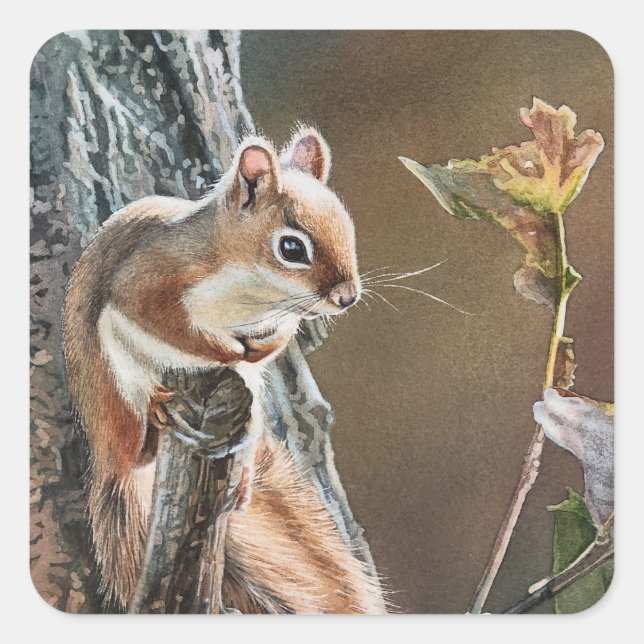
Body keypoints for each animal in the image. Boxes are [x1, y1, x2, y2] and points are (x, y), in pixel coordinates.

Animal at [63, 125, 386, 613]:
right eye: (292, 248)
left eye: (347, 228)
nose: (347, 297)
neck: (252, 294)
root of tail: (108, 461)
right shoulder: (148, 279)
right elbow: (162, 320)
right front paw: (224, 348)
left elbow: (275, 341)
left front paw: (261, 346)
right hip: (118, 391)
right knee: (139, 439)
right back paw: (156, 413)